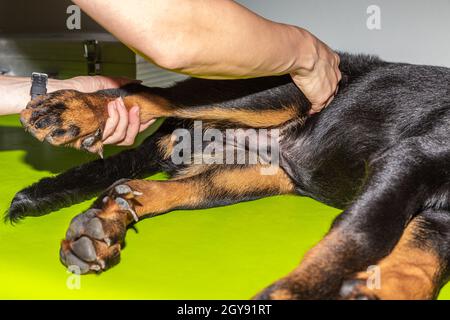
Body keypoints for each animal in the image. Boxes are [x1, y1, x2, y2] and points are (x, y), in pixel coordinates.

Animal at [7, 52, 450, 300]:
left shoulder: (438, 219)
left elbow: (421, 264)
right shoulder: (411, 158)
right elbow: (364, 236)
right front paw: (292, 293)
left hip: (253, 174)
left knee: (141, 186)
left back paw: (102, 227)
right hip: (272, 96)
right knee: (147, 94)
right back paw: (76, 110)